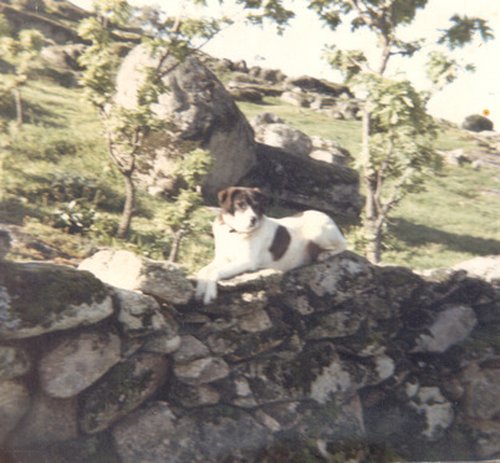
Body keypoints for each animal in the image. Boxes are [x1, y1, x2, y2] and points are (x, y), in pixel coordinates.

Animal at [193, 187, 346, 306]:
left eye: (256, 206)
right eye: (240, 204)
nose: (253, 219)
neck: (235, 232)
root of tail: (325, 215)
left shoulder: (247, 261)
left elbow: (214, 272)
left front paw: (210, 293)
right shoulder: (222, 259)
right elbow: (203, 271)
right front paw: (200, 290)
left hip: (317, 233)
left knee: (343, 244)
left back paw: (325, 254)